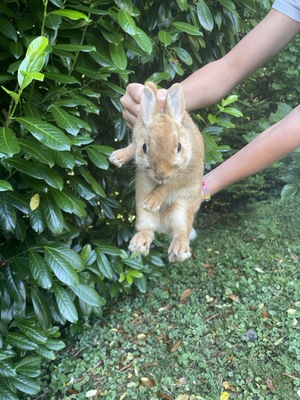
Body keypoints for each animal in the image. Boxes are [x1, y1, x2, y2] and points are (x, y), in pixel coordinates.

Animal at [109, 81, 205, 262]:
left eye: (179, 147)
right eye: (145, 147)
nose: (161, 174)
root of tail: (163, 227)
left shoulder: (184, 174)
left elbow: (167, 186)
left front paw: (152, 201)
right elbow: (133, 146)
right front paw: (117, 158)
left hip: (182, 209)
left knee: (182, 232)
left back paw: (179, 251)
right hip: (142, 214)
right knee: (147, 230)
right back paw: (138, 245)